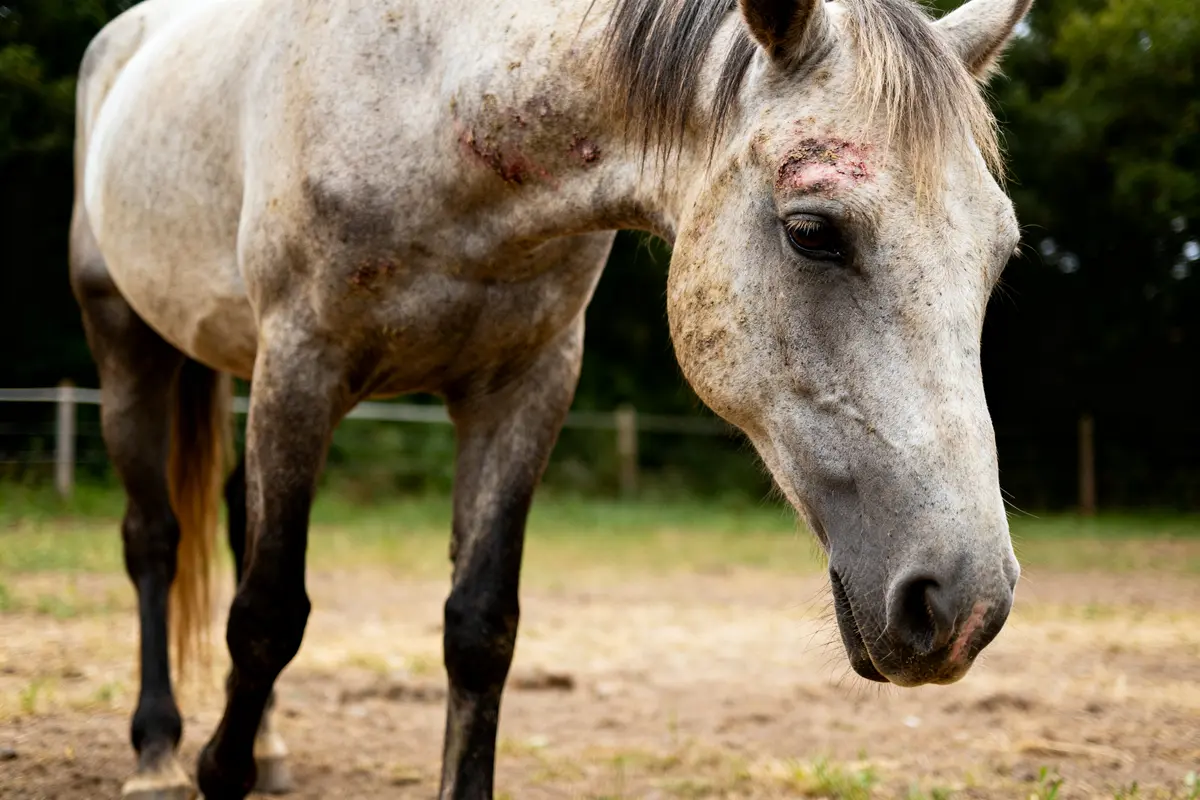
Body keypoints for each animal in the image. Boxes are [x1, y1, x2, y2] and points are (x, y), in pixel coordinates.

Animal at [70, 0, 1031, 795]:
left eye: (1001, 256)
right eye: (811, 232)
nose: (965, 605)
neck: (442, 101)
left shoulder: (525, 389)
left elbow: (480, 629)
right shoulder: (301, 368)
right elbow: (267, 616)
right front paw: (210, 767)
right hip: (126, 340)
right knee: (155, 540)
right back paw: (155, 754)